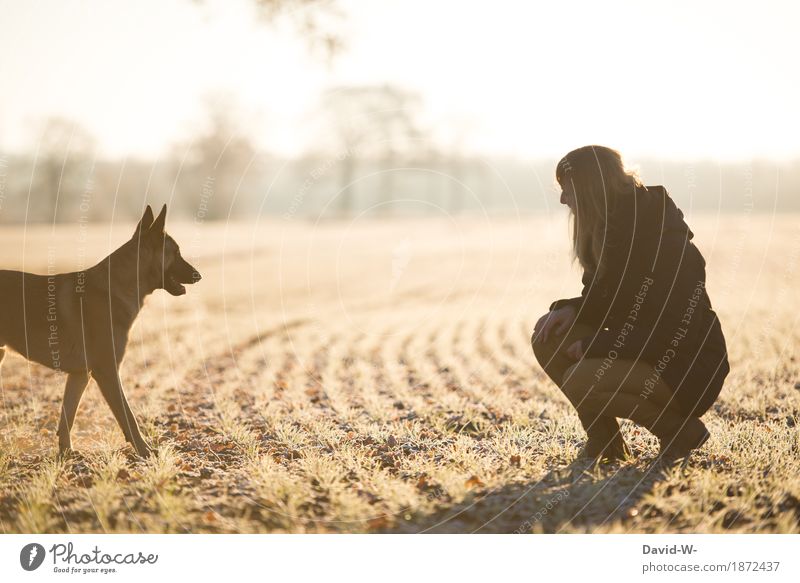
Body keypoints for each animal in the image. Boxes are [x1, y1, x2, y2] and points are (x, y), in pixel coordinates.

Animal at [0, 205, 199, 456]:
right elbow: (128, 416)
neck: (115, 287)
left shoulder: (80, 374)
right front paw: (145, 451)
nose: (199, 275)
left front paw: (66, 454)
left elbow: (68, 416)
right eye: (177, 253)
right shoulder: (107, 371)